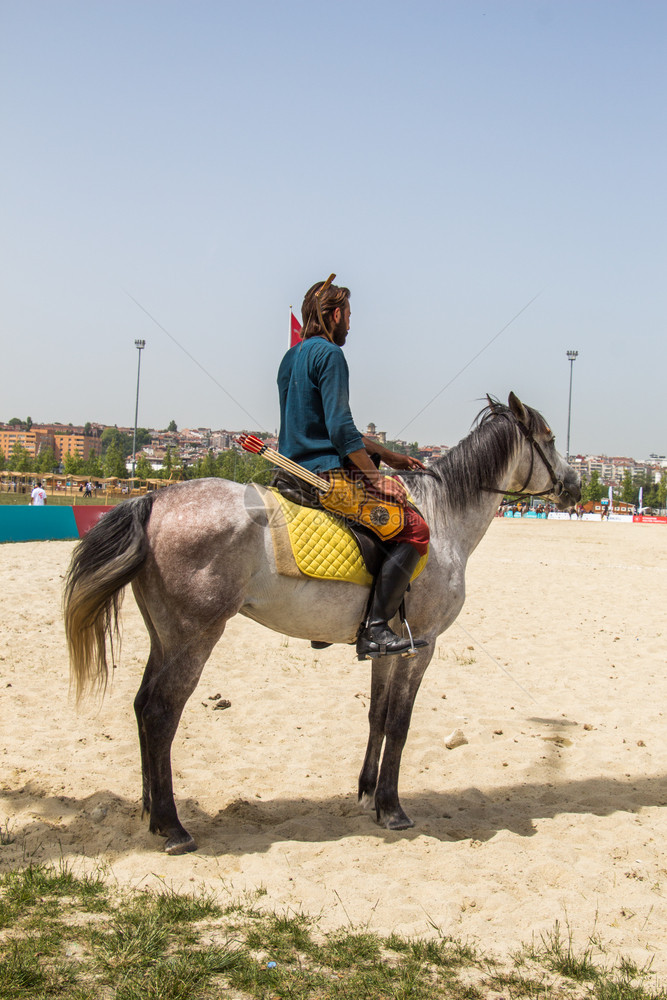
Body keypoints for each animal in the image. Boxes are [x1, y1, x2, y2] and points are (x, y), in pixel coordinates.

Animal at [65, 390, 580, 852]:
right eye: (551, 438)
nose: (574, 484)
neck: (444, 520)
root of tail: (153, 500)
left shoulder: (389, 643)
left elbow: (377, 715)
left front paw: (368, 794)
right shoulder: (423, 644)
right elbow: (400, 723)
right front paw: (392, 808)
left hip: (165, 636)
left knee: (141, 705)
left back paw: (151, 812)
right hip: (195, 637)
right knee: (160, 712)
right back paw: (172, 827)